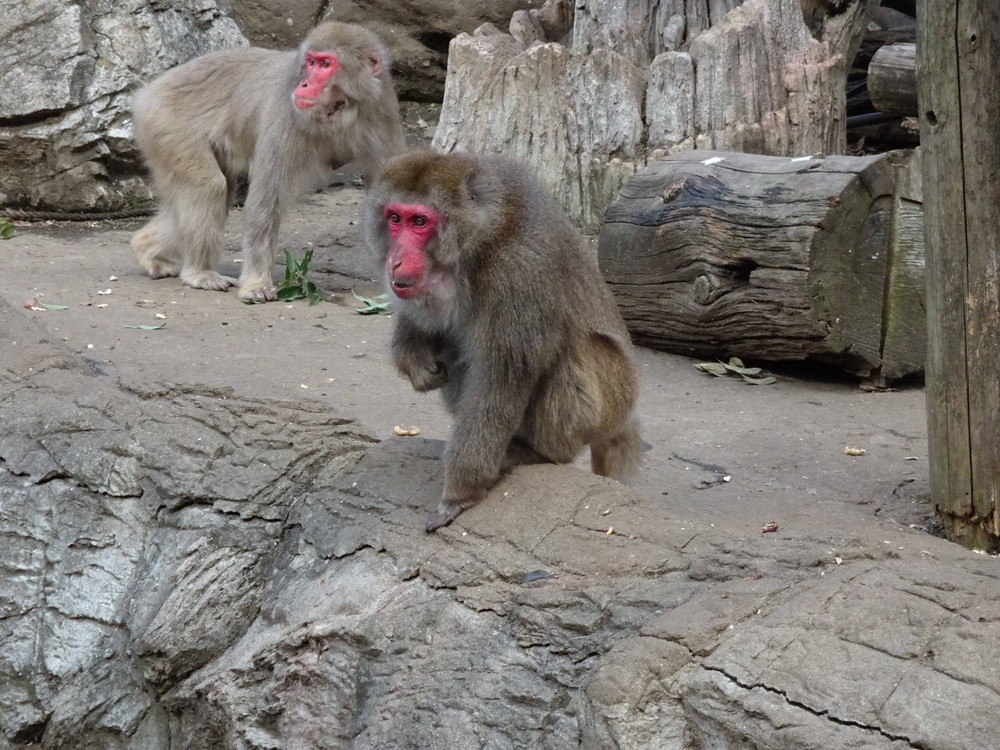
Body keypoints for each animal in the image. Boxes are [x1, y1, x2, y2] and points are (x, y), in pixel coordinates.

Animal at [129, 24, 402, 306]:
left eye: (326, 64)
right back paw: (198, 272)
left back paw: (144, 247)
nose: (304, 84)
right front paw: (256, 284)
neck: (341, 110)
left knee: (218, 191)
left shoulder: (381, 113)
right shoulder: (287, 115)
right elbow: (266, 201)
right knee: (208, 187)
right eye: (311, 62)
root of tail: (146, 94)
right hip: (166, 125)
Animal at [366, 150, 640, 532]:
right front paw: (411, 354)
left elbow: (499, 384)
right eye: (394, 218)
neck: (478, 246)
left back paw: (539, 452)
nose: (396, 260)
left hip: (611, 399)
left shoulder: (519, 276)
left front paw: (461, 494)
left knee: (569, 354)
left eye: (419, 221)